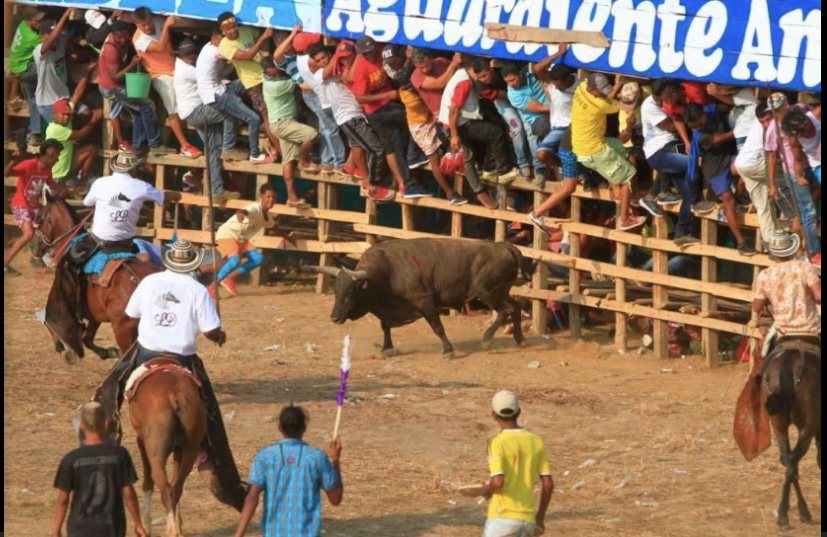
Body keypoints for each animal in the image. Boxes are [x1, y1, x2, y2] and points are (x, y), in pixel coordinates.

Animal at [34, 195, 160, 362]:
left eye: (40, 217)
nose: (33, 246)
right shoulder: (96, 315)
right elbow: (87, 339)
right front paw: (108, 352)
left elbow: (51, 323)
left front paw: (64, 350)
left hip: (123, 329)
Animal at [129, 356, 209, 536]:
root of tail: (175, 397)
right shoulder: (179, 449)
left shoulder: (141, 441)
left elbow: (147, 483)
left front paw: (146, 525)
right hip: (190, 451)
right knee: (176, 487)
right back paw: (175, 529)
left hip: (156, 454)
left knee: (165, 488)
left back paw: (170, 530)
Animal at [308, 238, 528, 356]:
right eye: (337, 291)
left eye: (351, 292)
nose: (334, 317)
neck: (387, 271)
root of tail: (504, 246)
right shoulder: (386, 309)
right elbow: (385, 327)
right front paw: (387, 348)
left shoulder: (425, 302)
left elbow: (437, 326)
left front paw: (448, 350)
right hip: (501, 291)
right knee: (516, 308)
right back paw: (520, 339)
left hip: (487, 291)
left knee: (506, 310)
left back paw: (487, 339)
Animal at [764, 338, 820, 528]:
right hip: (807, 429)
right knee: (792, 461)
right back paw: (788, 513)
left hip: (779, 425)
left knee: (789, 462)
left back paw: (788, 514)